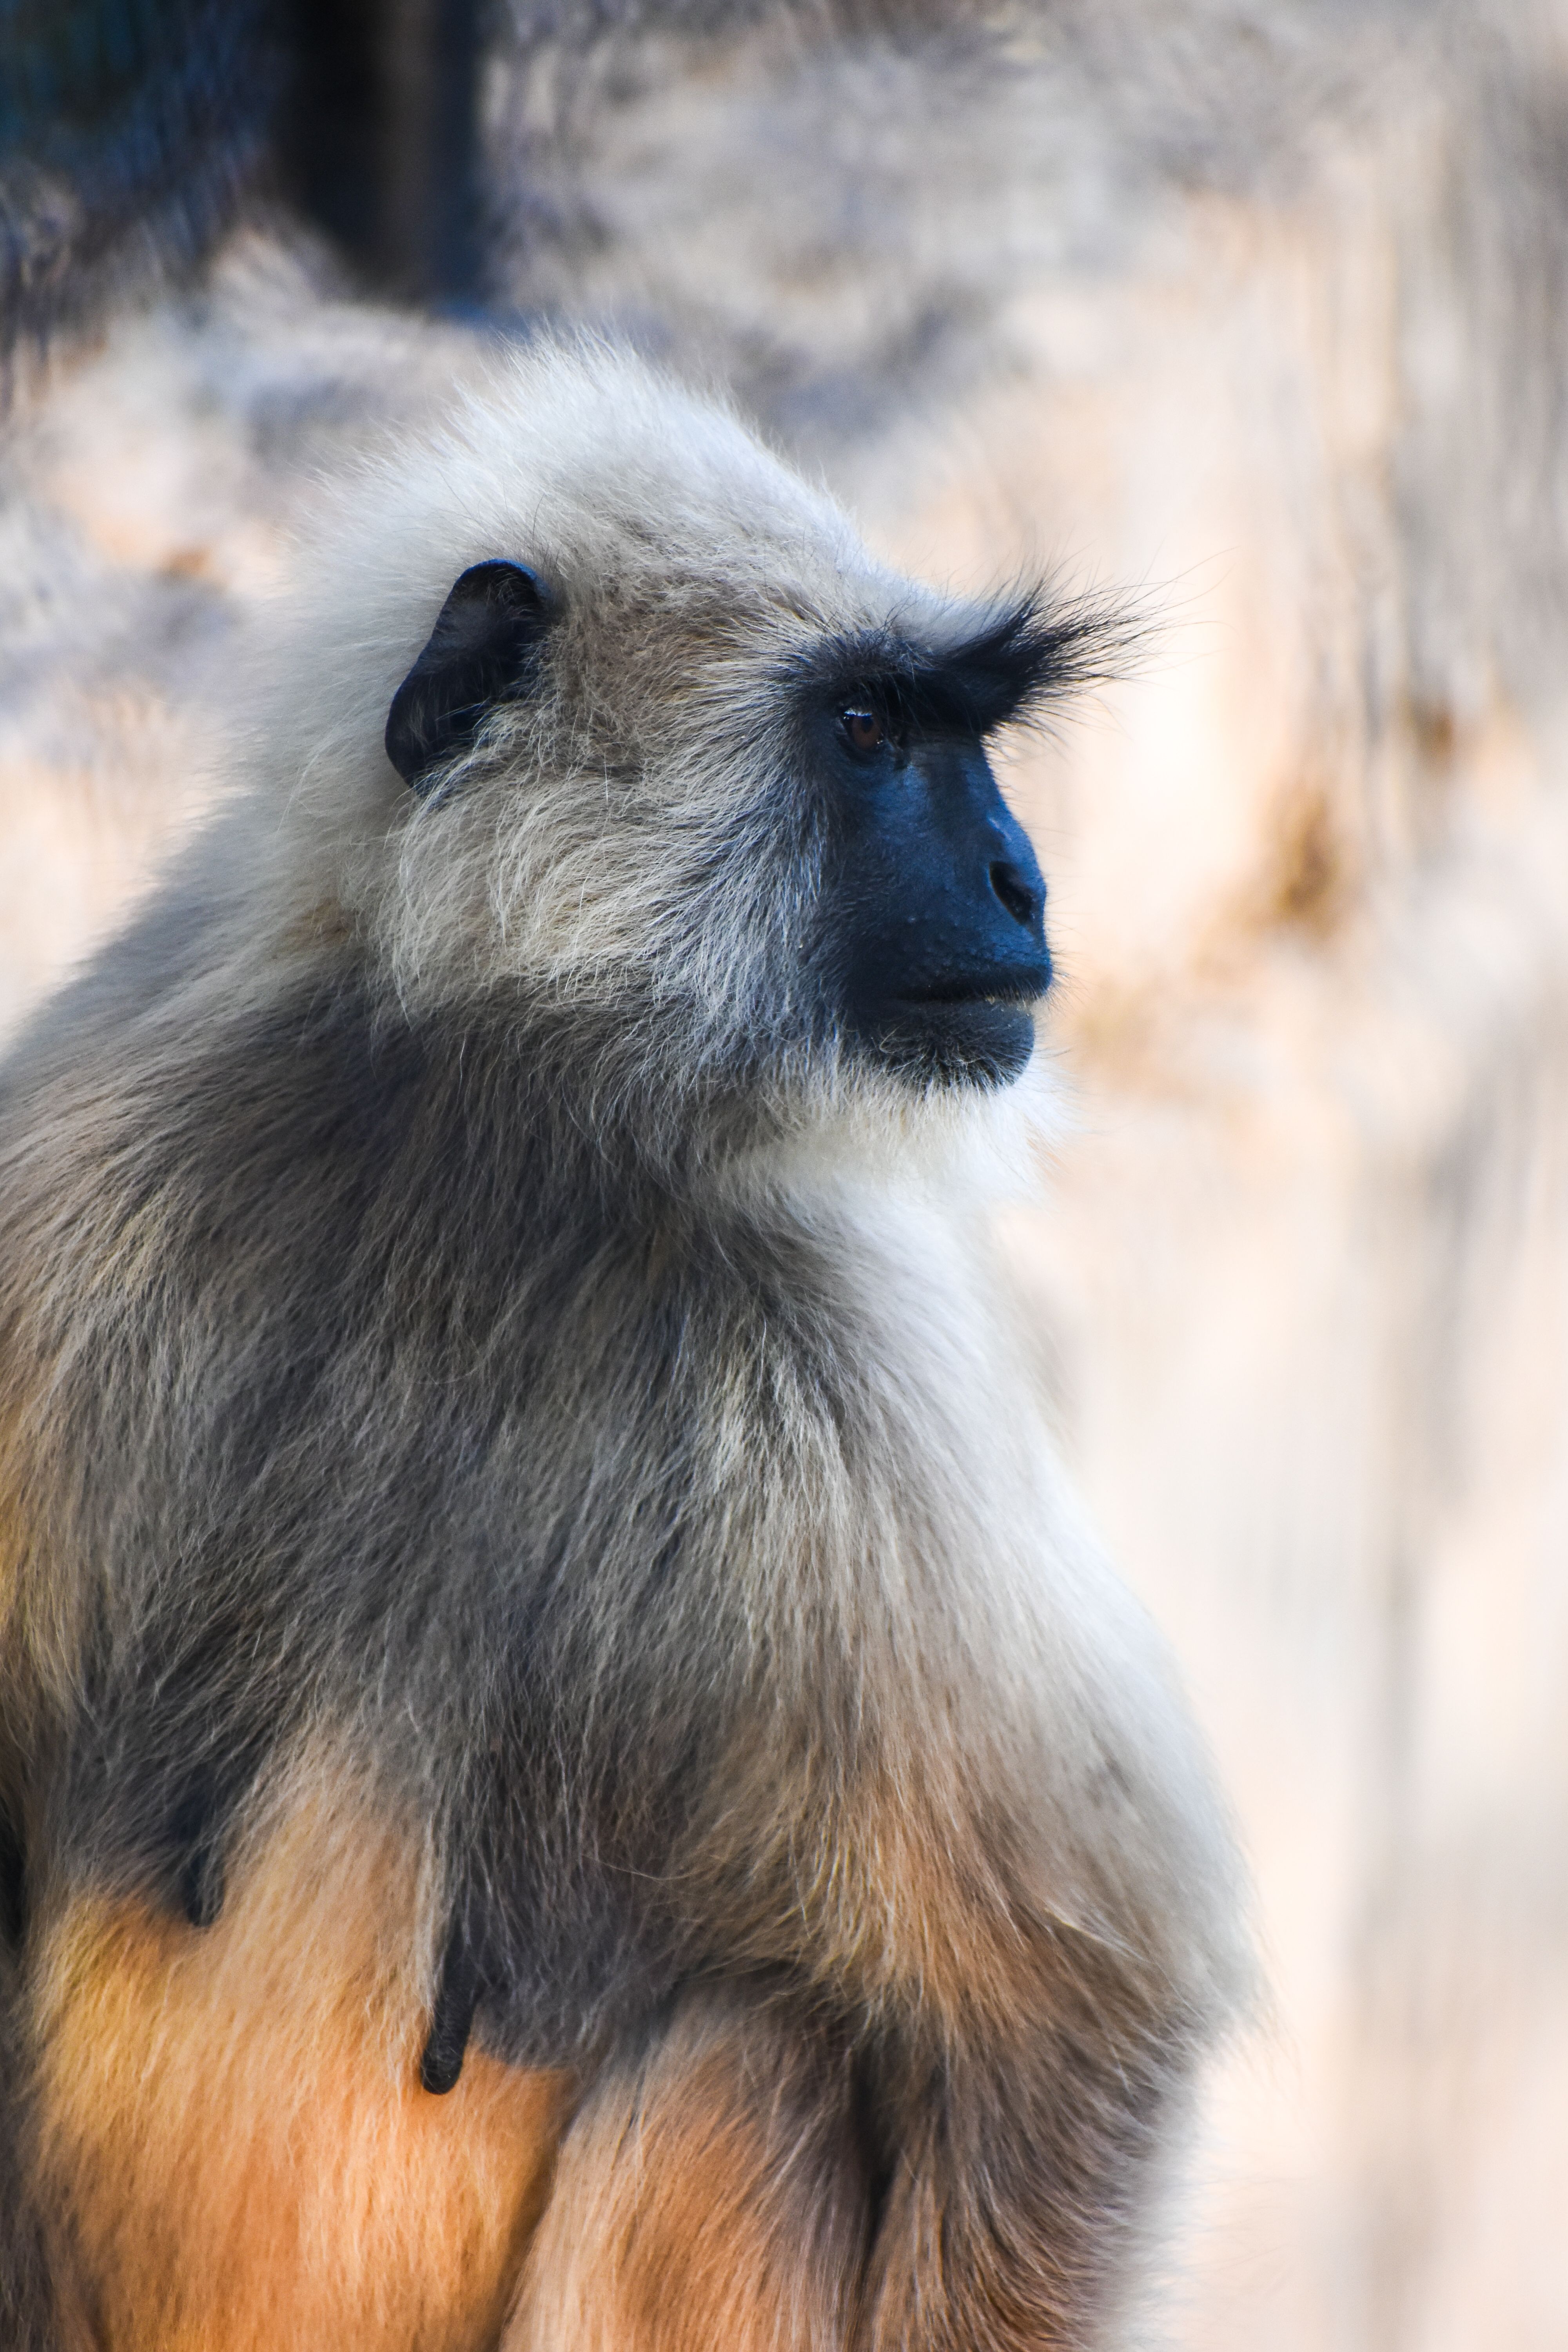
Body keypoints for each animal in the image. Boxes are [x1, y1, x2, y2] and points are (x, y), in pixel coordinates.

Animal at [0, 338, 1247, 2352]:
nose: (1020, 883)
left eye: (955, 738)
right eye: (872, 735)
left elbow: (1073, 2019)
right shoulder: (82, 1155)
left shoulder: (845, 1334)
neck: (485, 1137)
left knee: (747, 2061)